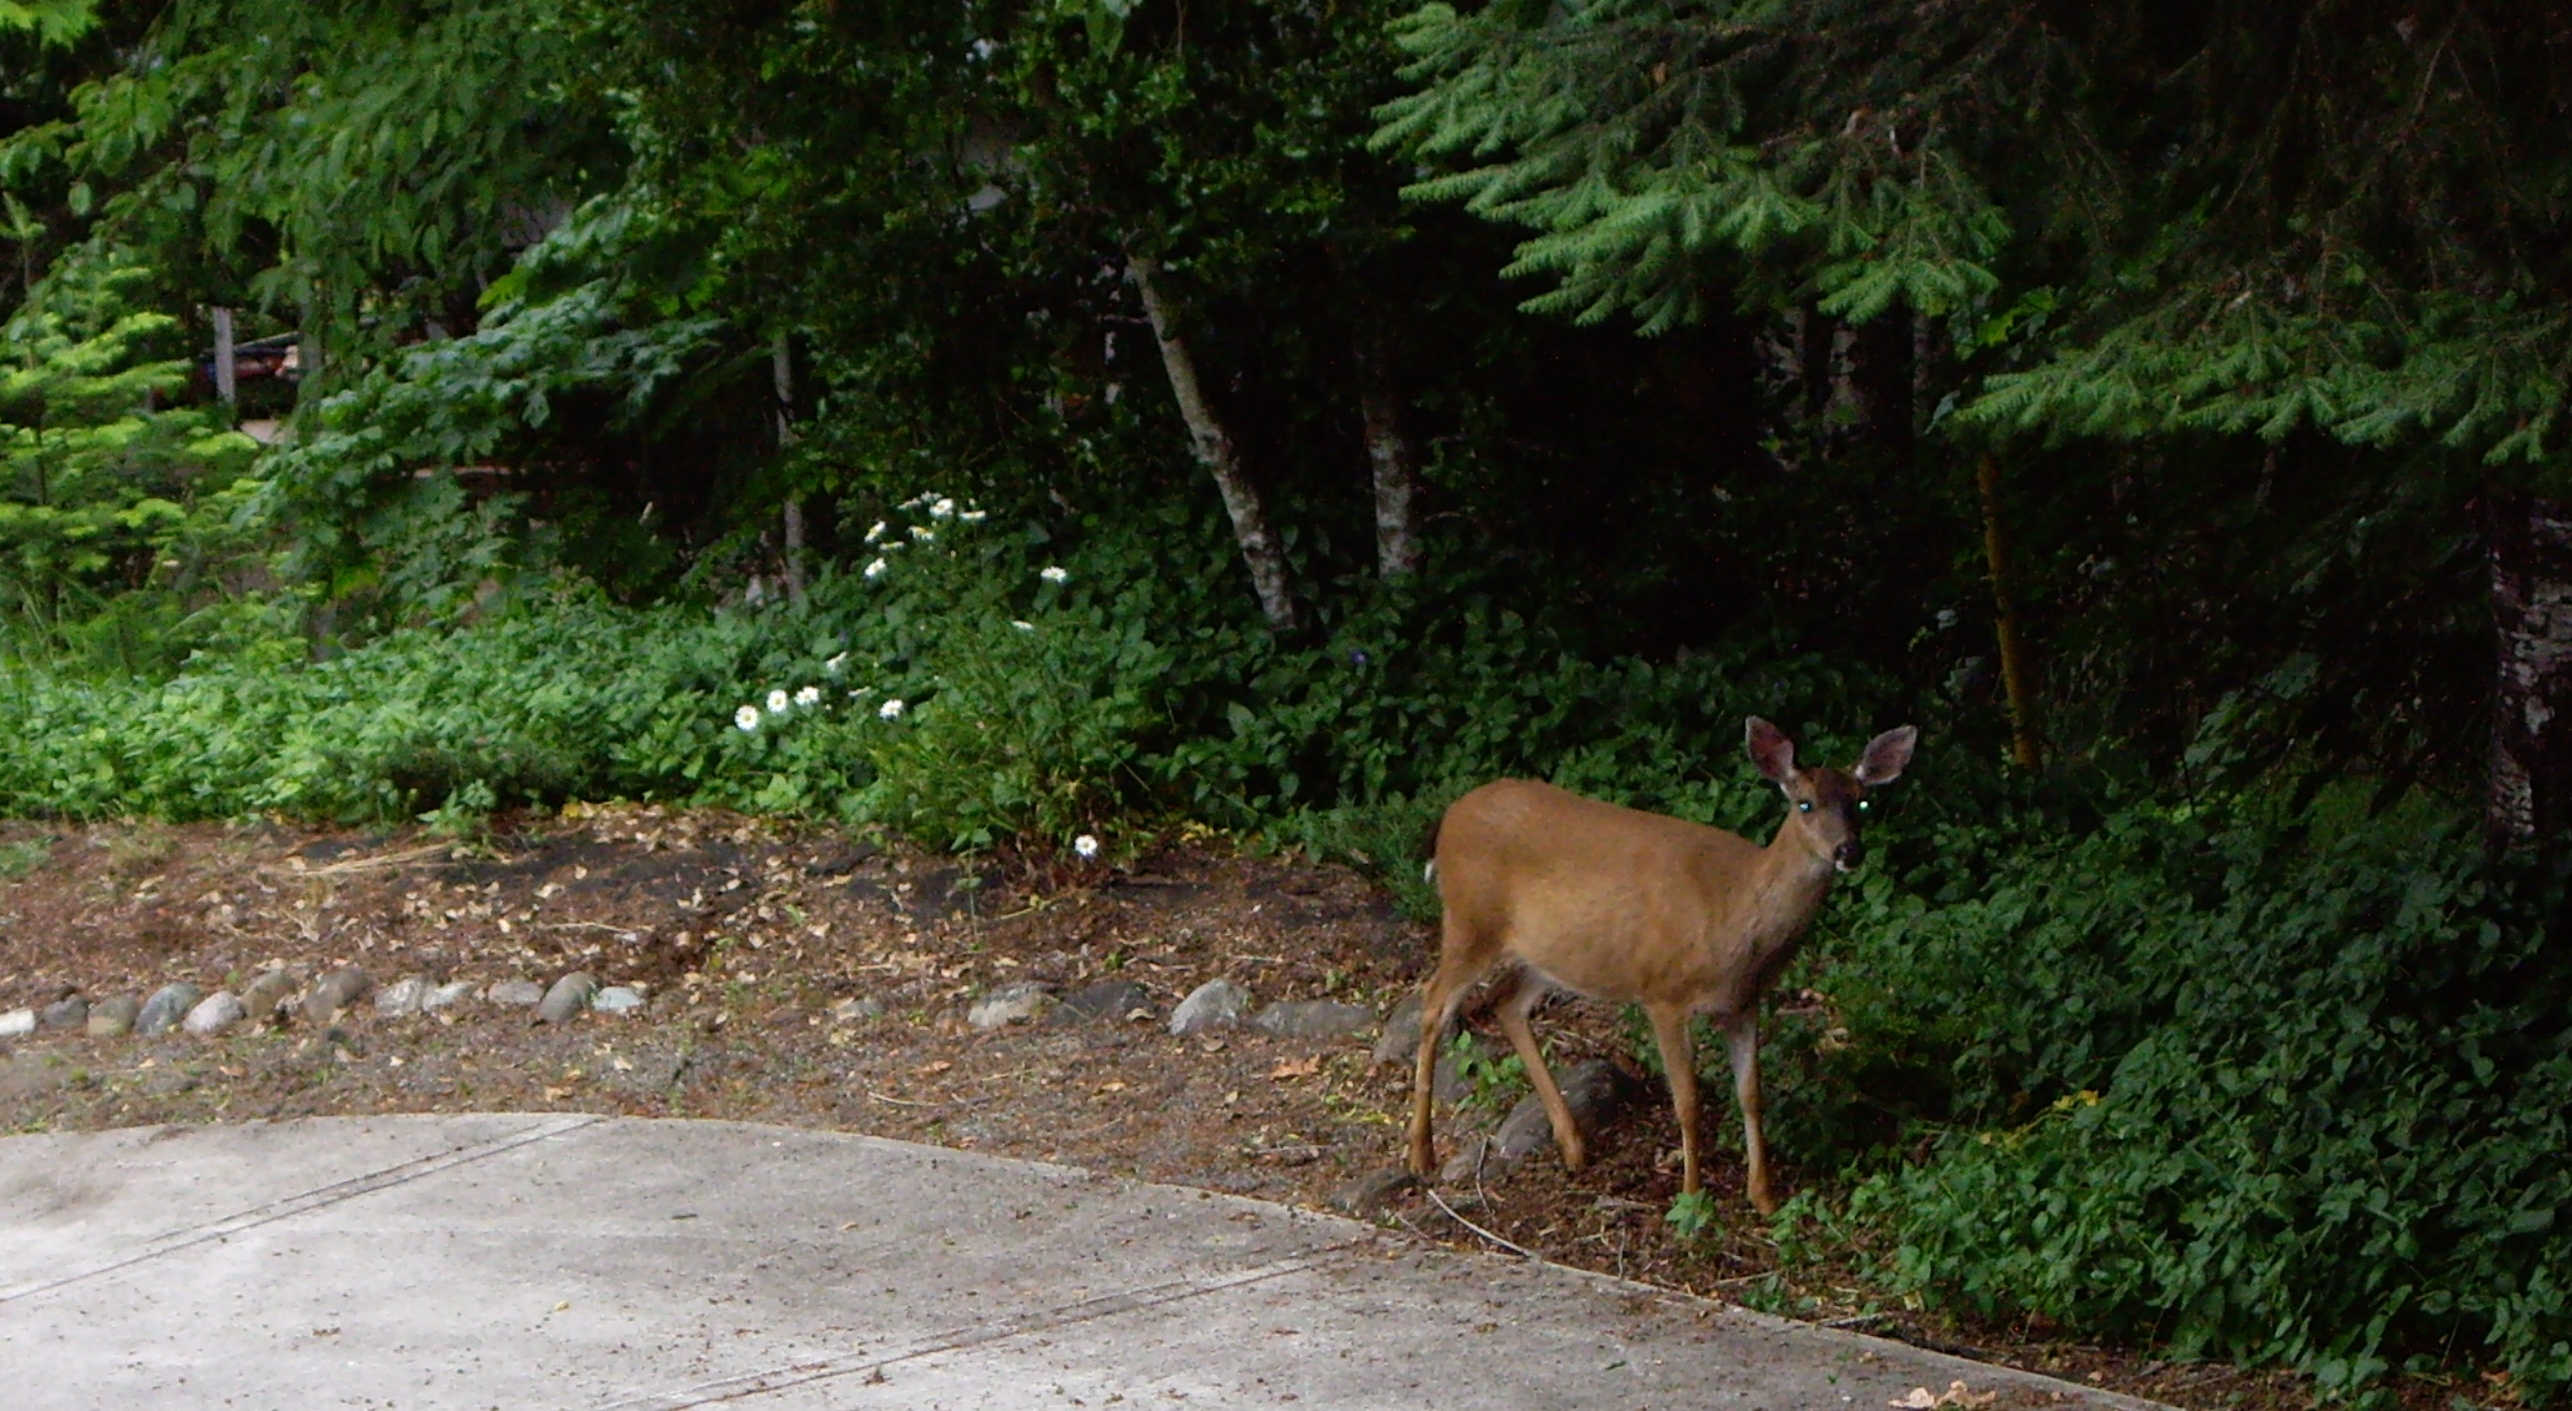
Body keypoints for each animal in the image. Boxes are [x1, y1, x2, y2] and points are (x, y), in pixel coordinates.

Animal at [1407, 717, 1918, 1214]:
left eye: (1862, 802)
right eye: (1806, 804)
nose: (1848, 851)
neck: (1735, 919)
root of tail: (1448, 818)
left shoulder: (1744, 1001)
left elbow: (1752, 1095)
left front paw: (1764, 1197)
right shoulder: (1664, 993)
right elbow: (1687, 1100)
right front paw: (1692, 1195)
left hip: (1546, 953)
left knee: (1506, 1003)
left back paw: (1572, 1145)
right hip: (1469, 921)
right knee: (1432, 1003)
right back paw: (1420, 1154)